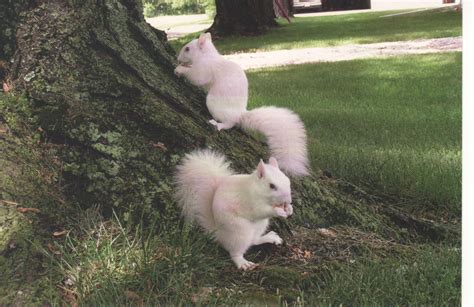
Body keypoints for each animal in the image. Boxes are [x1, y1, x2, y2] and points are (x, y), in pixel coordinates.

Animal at [174, 32, 312, 177]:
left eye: (187, 49)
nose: (178, 59)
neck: (207, 56)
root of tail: (240, 114)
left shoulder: (205, 70)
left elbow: (196, 77)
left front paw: (179, 69)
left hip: (214, 104)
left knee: (230, 123)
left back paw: (218, 125)